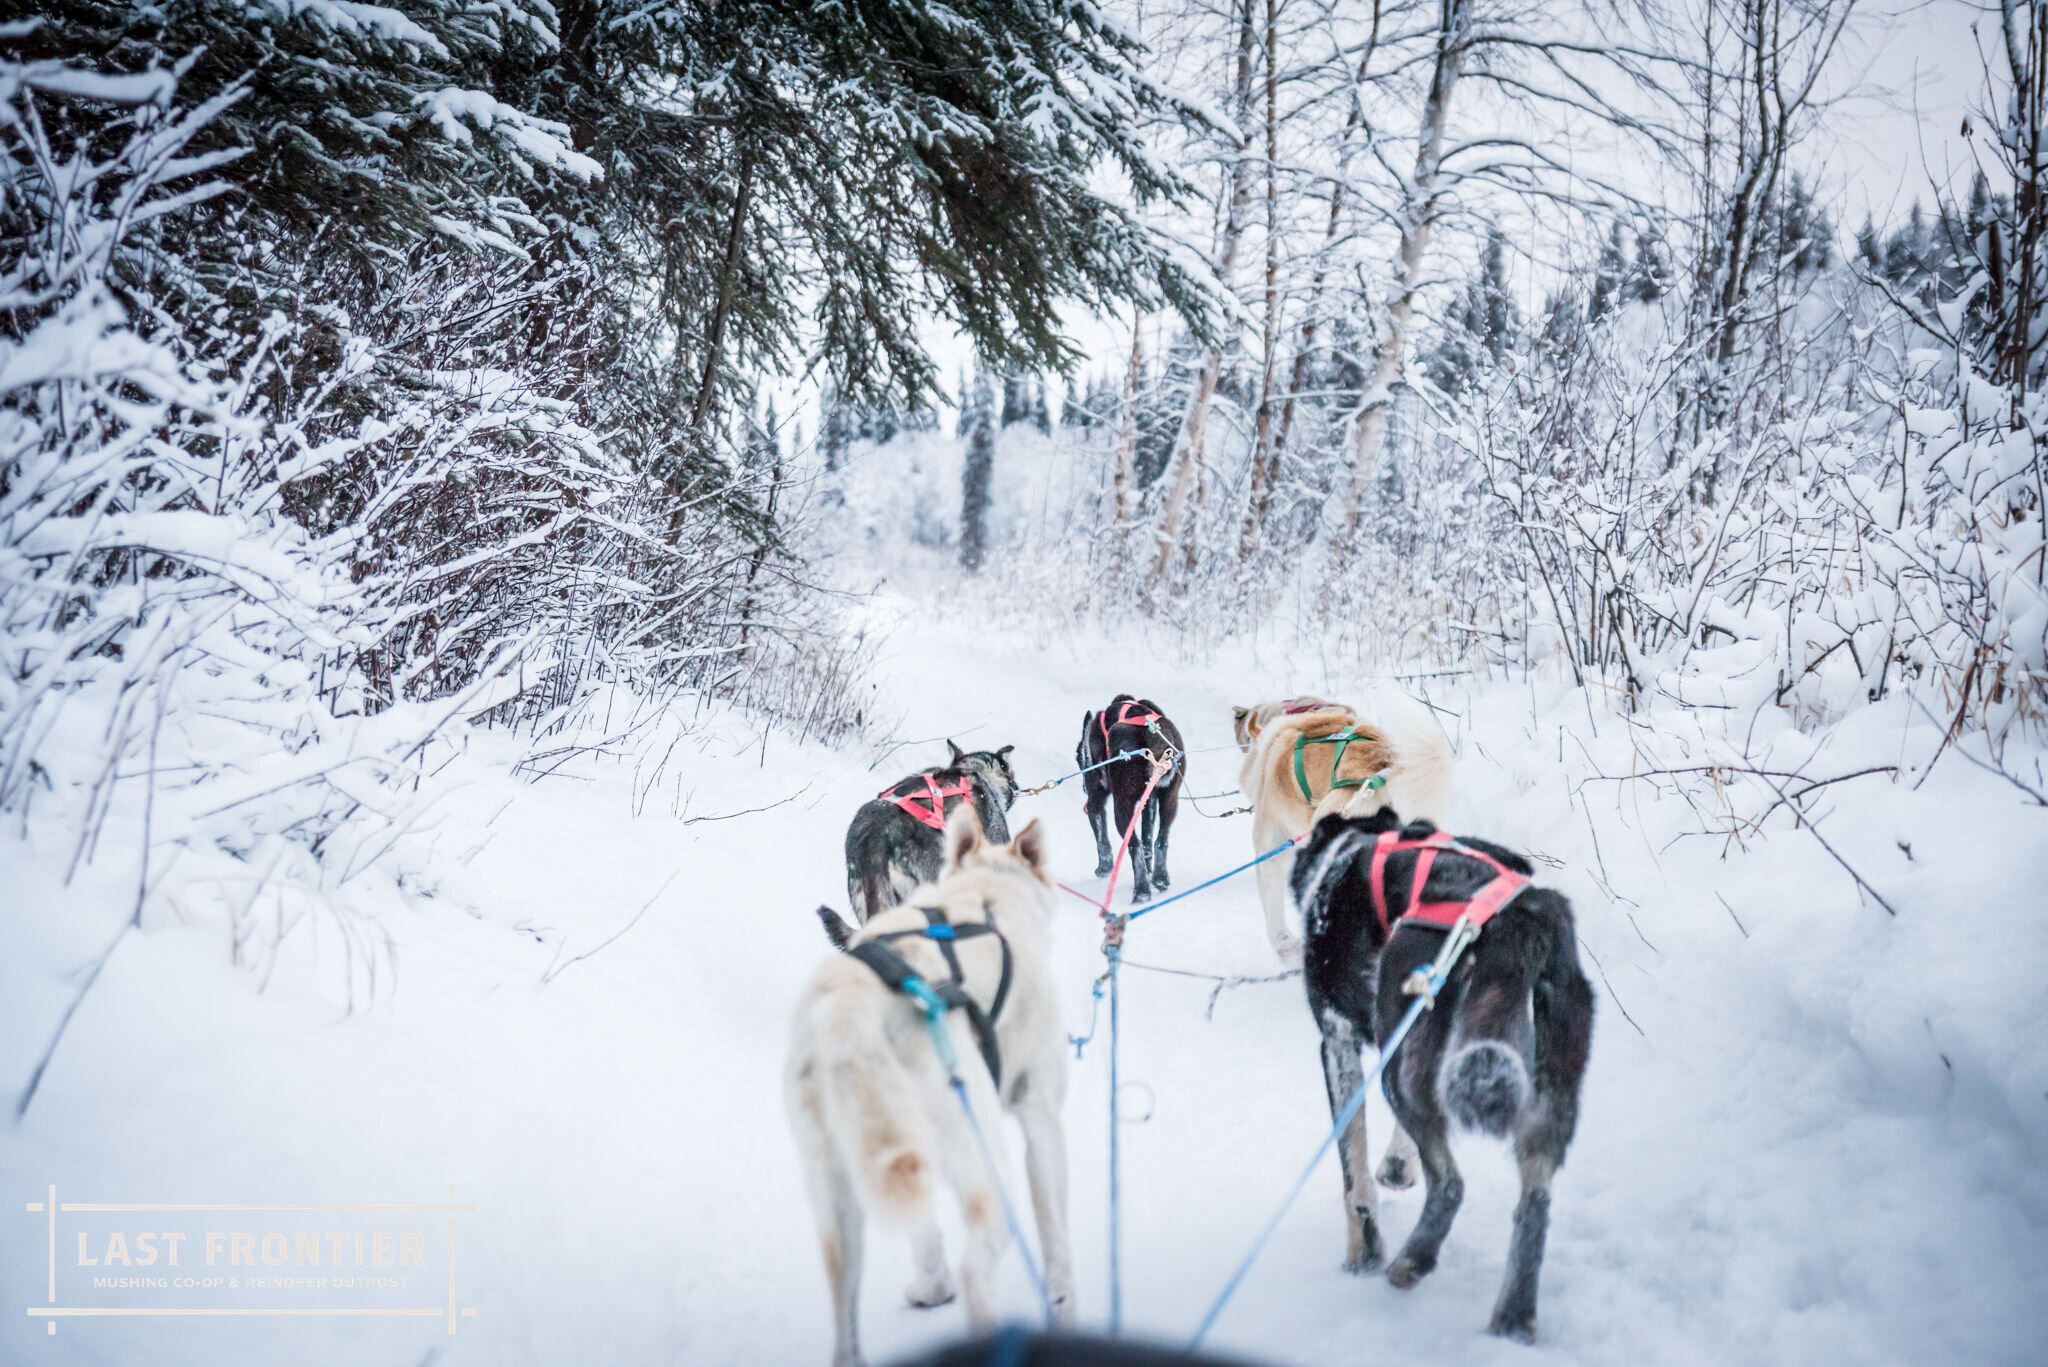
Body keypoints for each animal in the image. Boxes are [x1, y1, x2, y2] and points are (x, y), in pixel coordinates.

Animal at [778, 807, 1073, 1360]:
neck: (986, 898)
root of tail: (851, 1015)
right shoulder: (1040, 1118)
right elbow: (1057, 1244)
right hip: (983, 1158)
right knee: (975, 1271)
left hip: (842, 1194)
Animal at [1073, 700, 1187, 901]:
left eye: (1078, 758)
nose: (1084, 787)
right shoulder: (1149, 803)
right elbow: (1147, 838)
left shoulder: (1095, 801)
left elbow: (1102, 840)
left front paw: (1104, 868)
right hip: (1169, 799)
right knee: (1159, 839)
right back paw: (1159, 878)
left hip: (1122, 807)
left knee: (1134, 846)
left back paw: (1141, 892)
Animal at [1286, 807, 1589, 1344]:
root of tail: (1518, 918)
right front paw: (1396, 1166)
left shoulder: (1338, 1040)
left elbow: (1353, 1175)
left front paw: (1363, 1254)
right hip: (1545, 1100)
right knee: (1535, 1204)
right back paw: (1512, 1319)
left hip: (1400, 1069)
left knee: (1450, 1185)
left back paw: (1411, 1261)